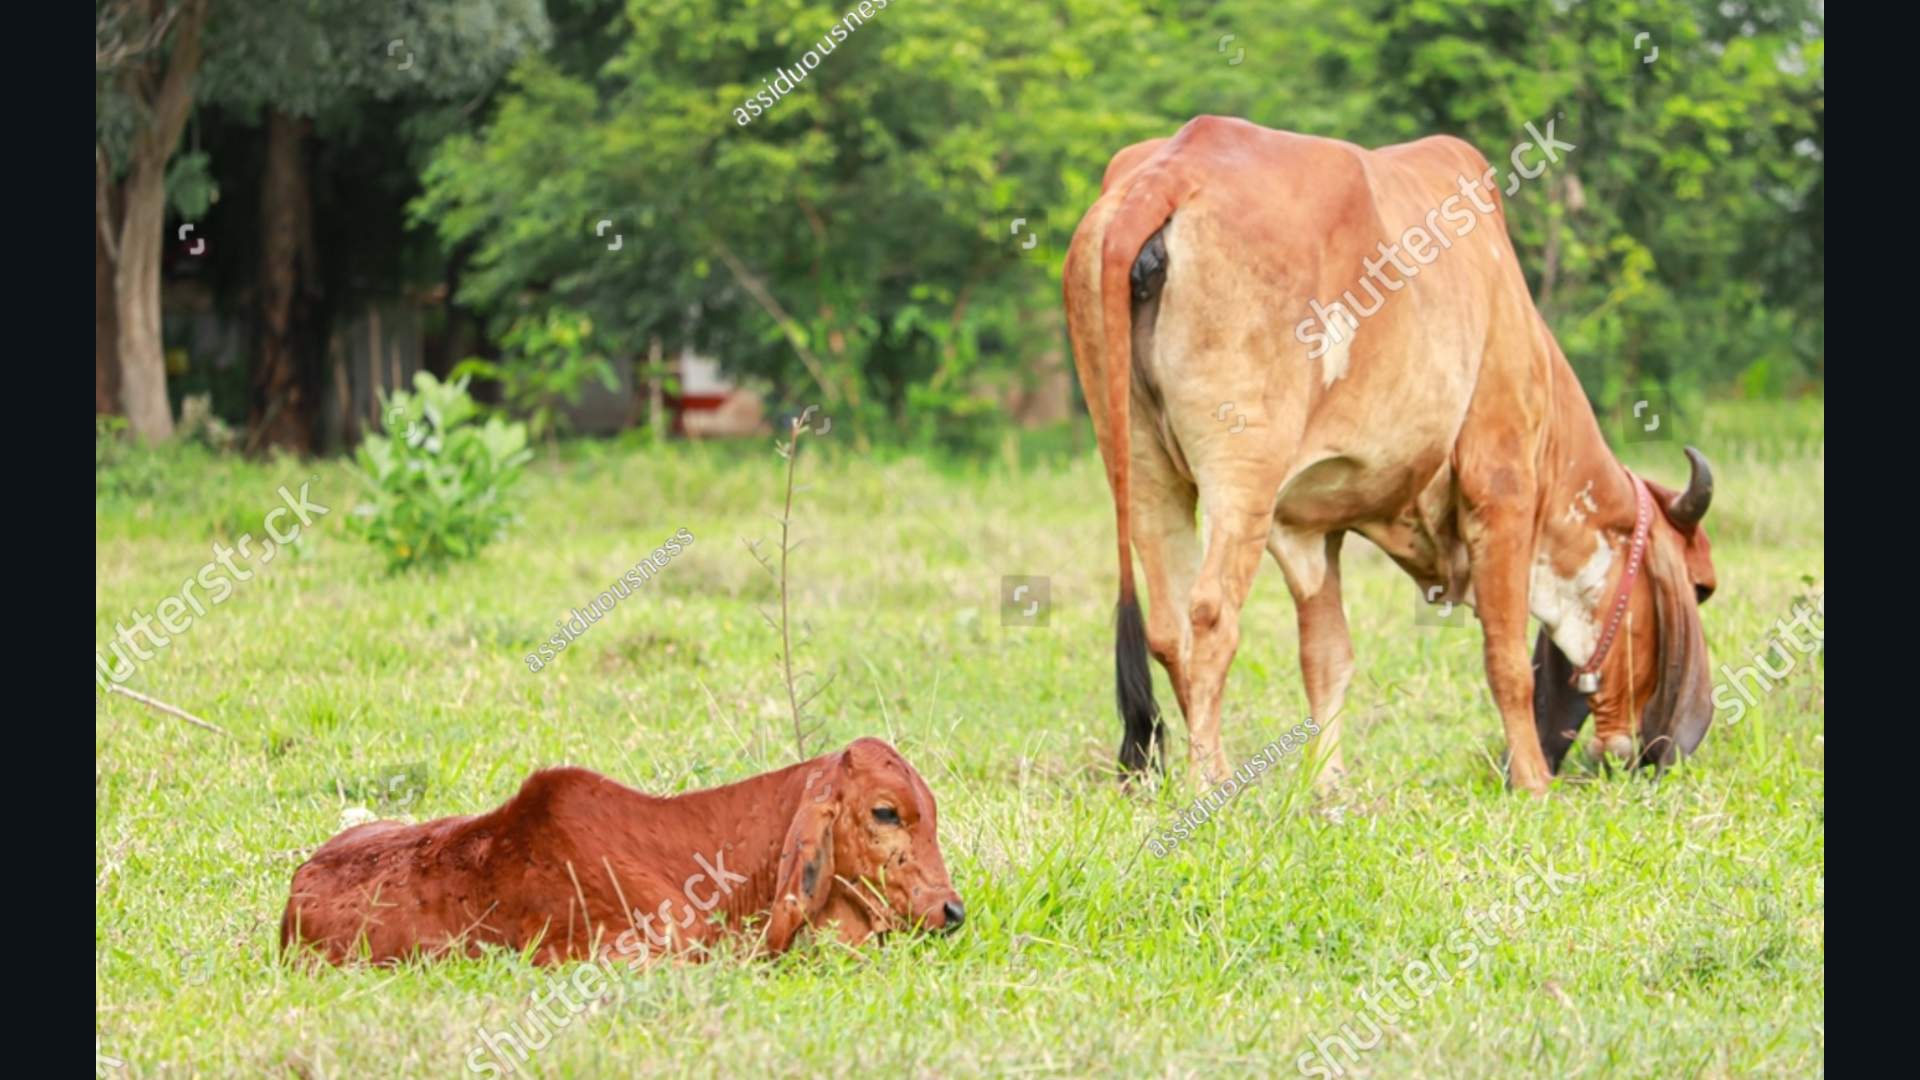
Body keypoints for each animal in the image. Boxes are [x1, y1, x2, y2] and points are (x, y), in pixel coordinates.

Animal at [1067, 115, 1728, 791]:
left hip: (1142, 465)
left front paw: (1328, 785)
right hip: (1241, 473)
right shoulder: (1501, 482)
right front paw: (1535, 784)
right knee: (1211, 616)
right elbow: (1506, 659)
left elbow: (1327, 658)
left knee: (1169, 626)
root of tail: (1171, 171)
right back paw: (1212, 783)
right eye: (1701, 588)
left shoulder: (1311, 528)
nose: (1652, 751)